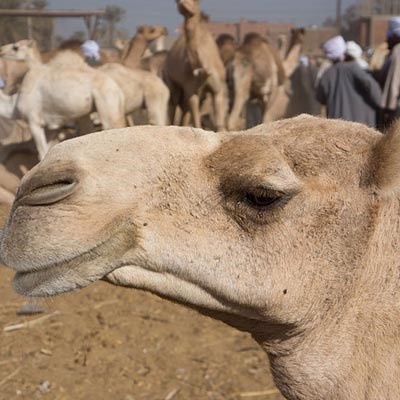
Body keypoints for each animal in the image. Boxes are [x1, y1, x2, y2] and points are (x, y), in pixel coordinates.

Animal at [164, 0, 228, 130]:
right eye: (176, 1)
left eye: (197, 1)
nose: (183, 3)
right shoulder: (191, 90)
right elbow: (197, 122)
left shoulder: (217, 90)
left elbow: (218, 124)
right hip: (170, 81)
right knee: (173, 103)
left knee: (184, 112)